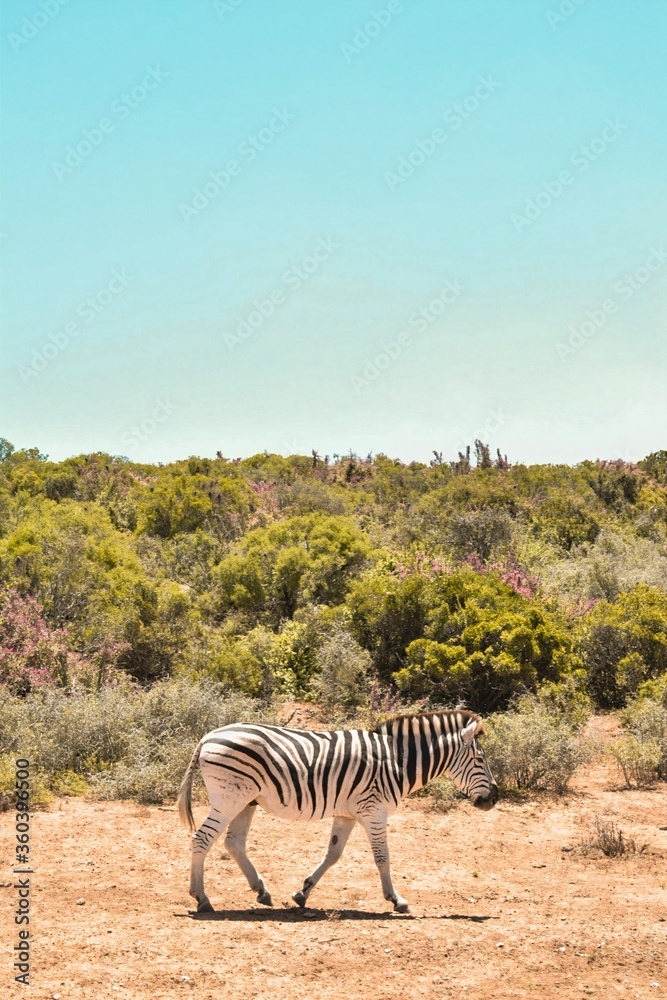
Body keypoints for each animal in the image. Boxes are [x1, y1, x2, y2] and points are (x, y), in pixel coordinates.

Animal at [177, 709, 498, 914]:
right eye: (480, 760)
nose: (494, 798)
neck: (396, 761)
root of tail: (208, 736)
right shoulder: (374, 810)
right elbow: (382, 858)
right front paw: (396, 899)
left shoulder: (347, 814)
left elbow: (333, 854)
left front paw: (302, 893)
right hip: (229, 798)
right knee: (201, 839)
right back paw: (201, 898)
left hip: (246, 801)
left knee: (234, 843)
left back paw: (261, 890)